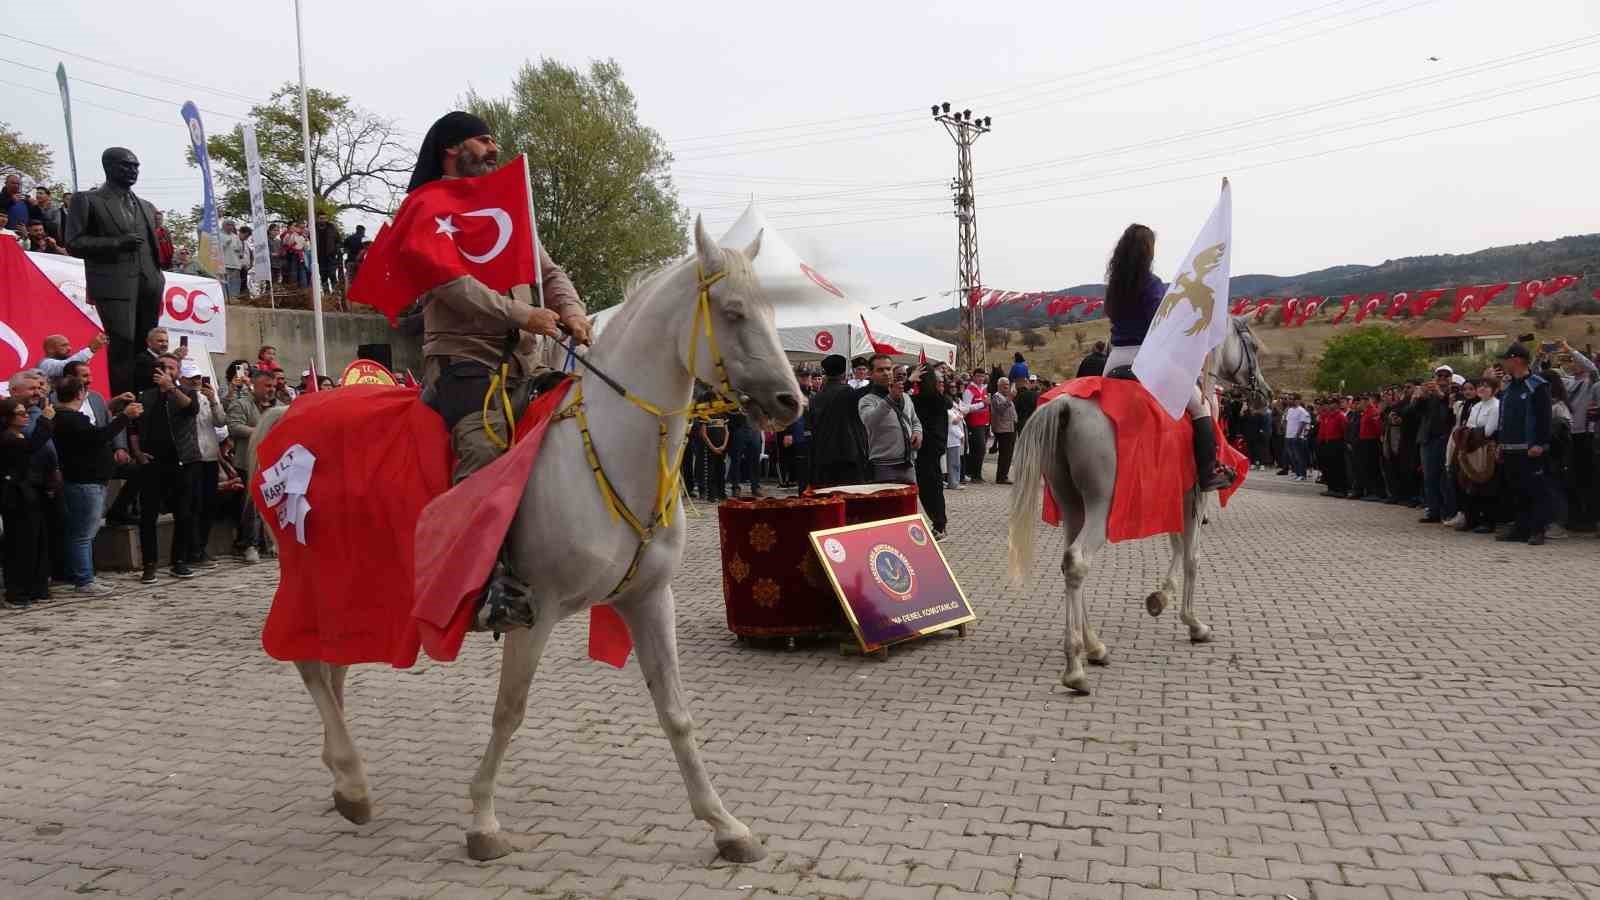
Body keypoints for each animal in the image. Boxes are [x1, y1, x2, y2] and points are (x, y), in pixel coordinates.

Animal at [252, 219, 800, 864]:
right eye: (734, 312)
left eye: (773, 309)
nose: (792, 401)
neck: (607, 450)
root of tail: (284, 416)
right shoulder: (534, 613)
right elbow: (508, 712)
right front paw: (483, 821)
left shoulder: (648, 600)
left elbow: (676, 713)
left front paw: (725, 825)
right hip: (318, 575)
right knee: (310, 664)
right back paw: (354, 782)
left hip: (354, 584)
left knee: (330, 665)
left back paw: (342, 778)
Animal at [1004, 315, 1267, 695]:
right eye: (1255, 347)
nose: (1264, 395)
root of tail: (1065, 405)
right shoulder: (1196, 498)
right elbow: (1191, 557)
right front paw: (1194, 623)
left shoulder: (1174, 496)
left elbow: (1176, 545)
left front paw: (1160, 597)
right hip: (1100, 510)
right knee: (1078, 562)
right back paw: (1075, 669)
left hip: (1073, 506)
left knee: (1069, 563)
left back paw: (1094, 647)